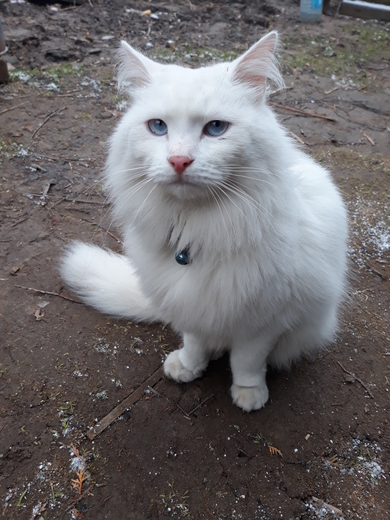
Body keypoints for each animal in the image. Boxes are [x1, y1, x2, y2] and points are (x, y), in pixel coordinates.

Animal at [61, 33, 348, 414]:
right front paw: (188, 366)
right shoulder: (192, 306)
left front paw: (248, 394)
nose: (179, 161)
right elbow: (195, 342)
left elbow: (246, 362)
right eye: (158, 127)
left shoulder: (263, 322)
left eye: (215, 128)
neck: (194, 232)